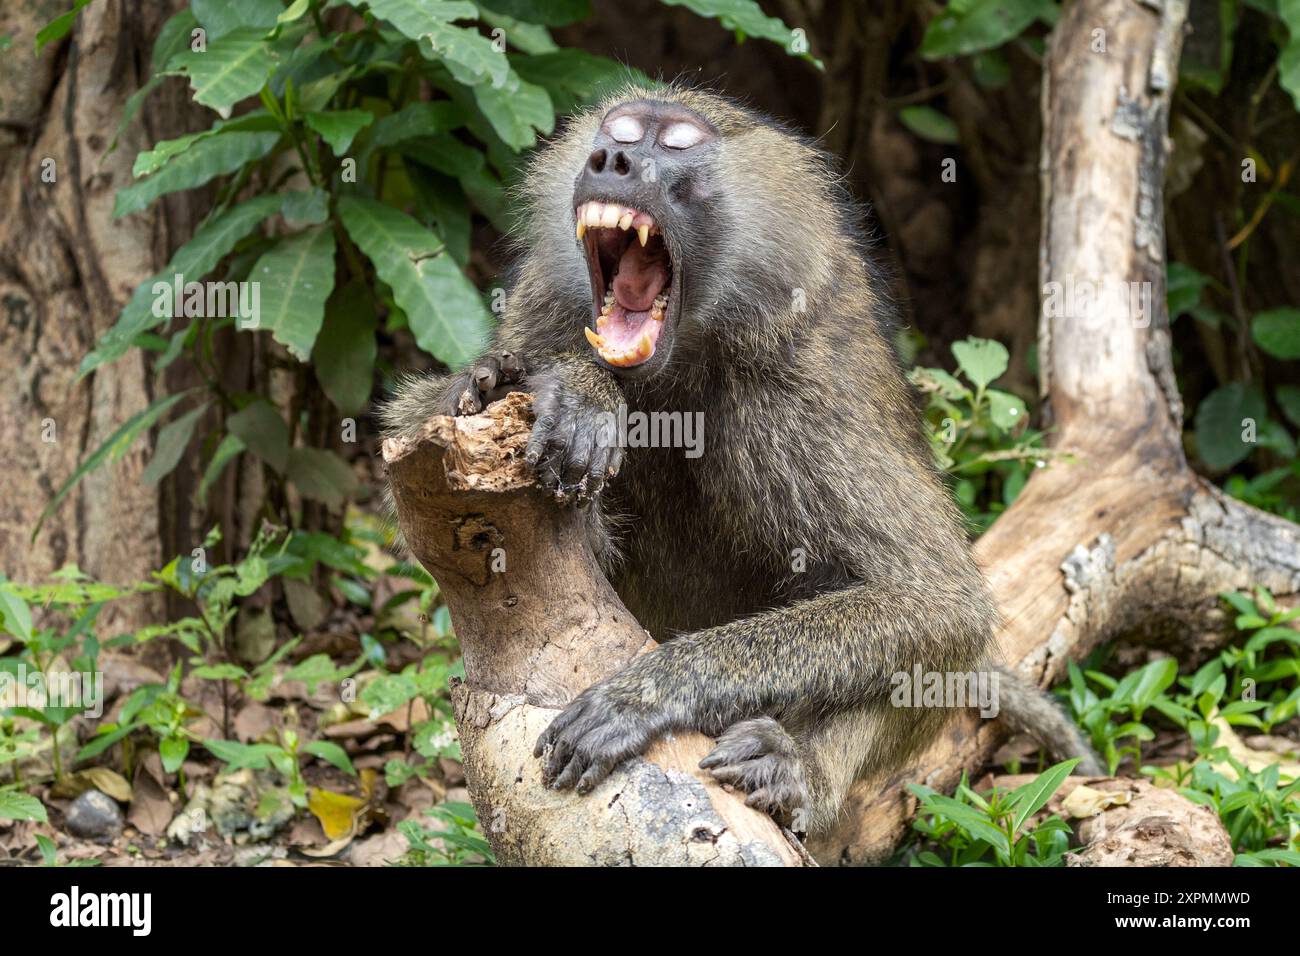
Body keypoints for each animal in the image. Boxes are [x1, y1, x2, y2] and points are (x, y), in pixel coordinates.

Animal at [382, 83, 1102, 841]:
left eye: (676, 144)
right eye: (620, 132)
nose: (609, 159)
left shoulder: (798, 395)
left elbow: (936, 600)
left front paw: (648, 691)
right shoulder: (540, 315)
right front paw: (528, 386)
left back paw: (796, 770)